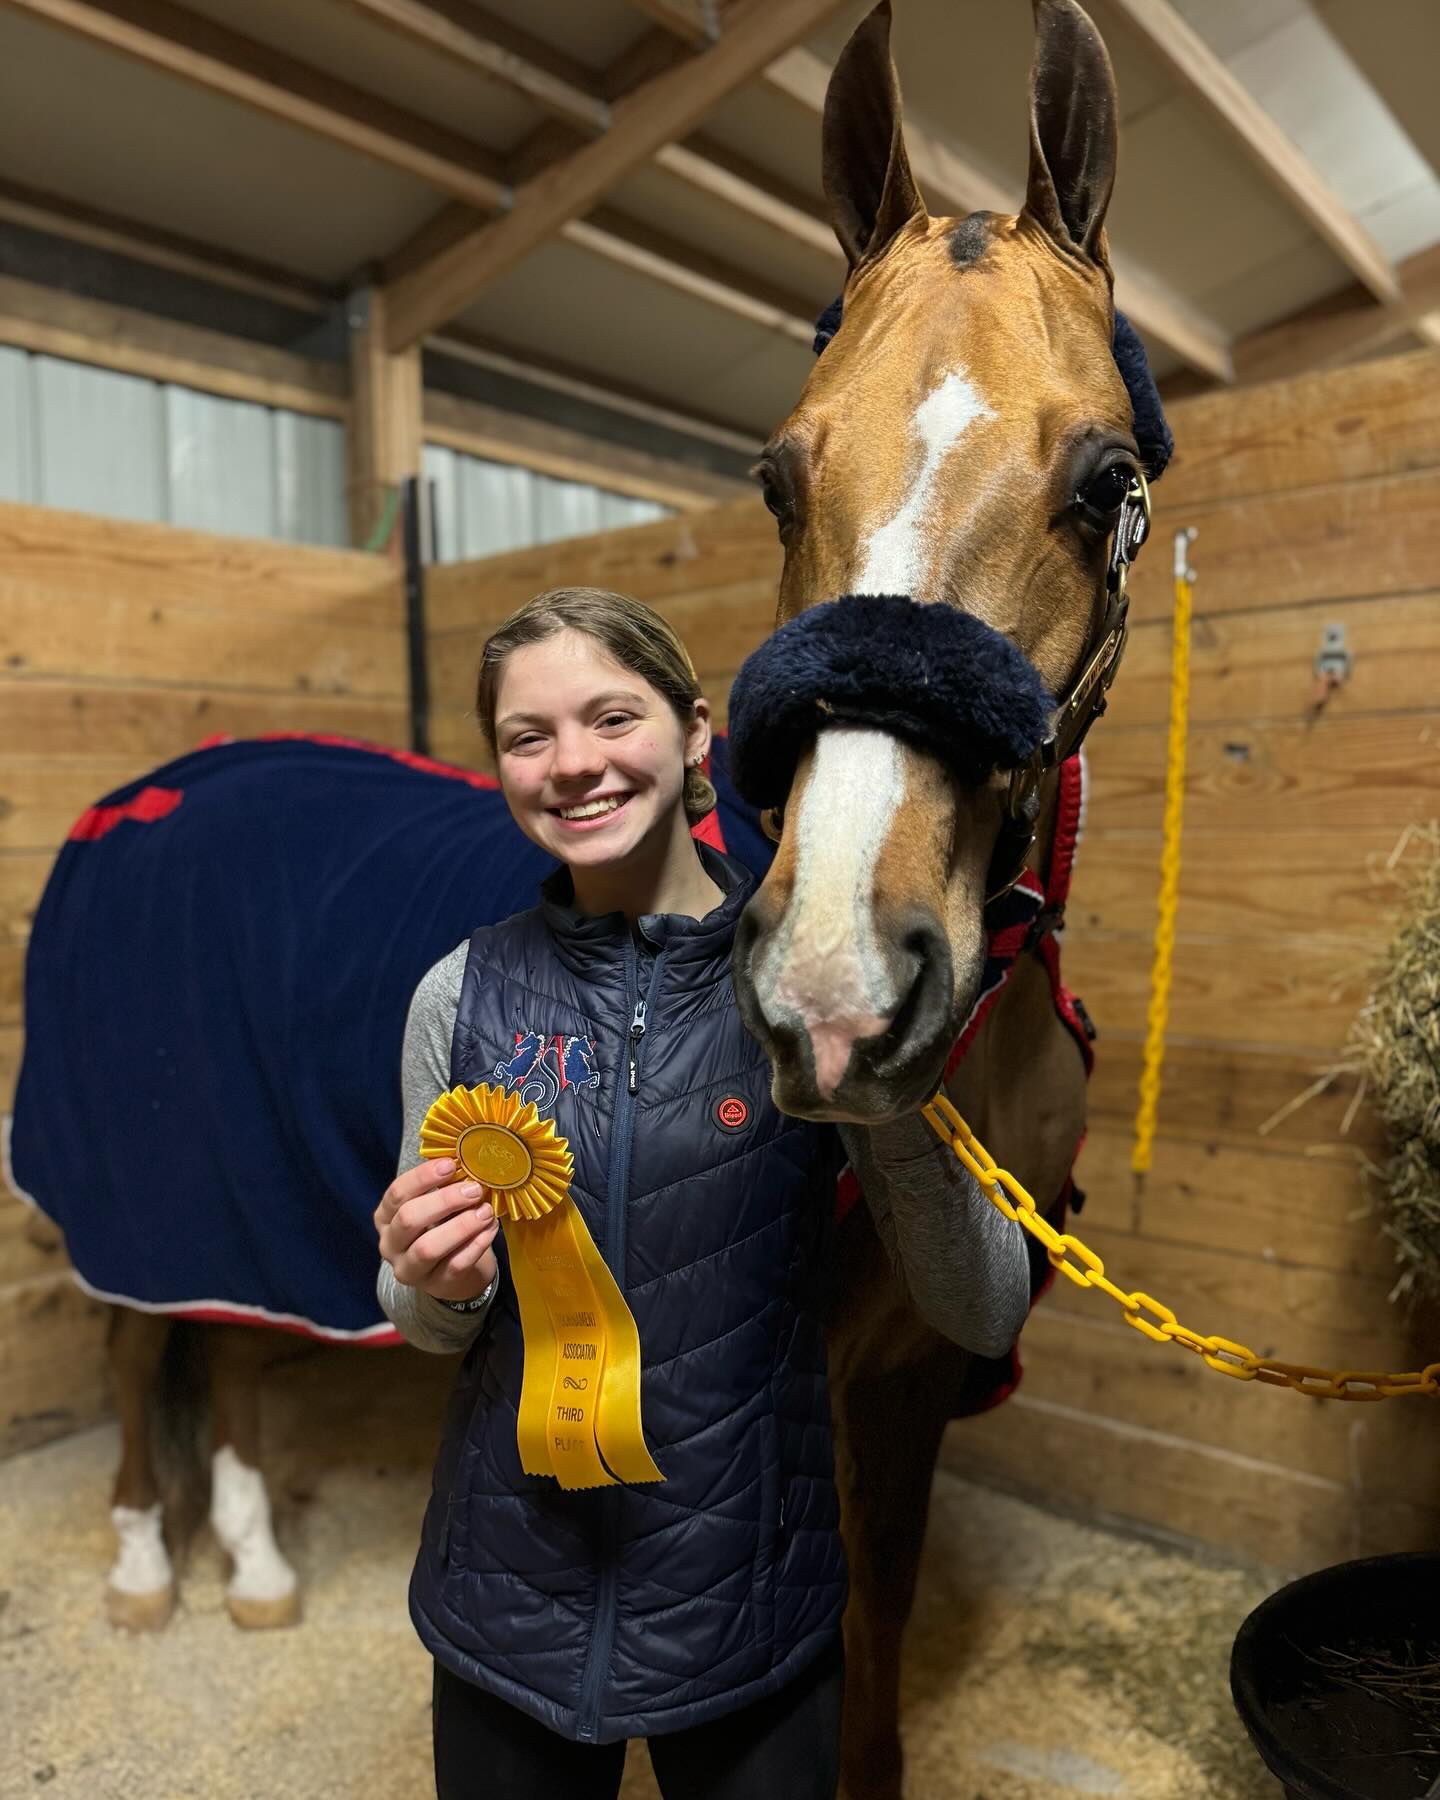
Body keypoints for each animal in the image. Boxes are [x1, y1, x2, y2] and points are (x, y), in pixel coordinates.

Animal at [7, 3, 1165, 1794]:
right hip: (162, 1171)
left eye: (1104, 475)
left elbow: (877, 1661)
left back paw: (251, 1561)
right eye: (776, 476)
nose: (831, 988)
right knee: (150, 1348)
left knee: (233, 1346)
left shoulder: (907, 1383)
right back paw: (154, 1566)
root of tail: (156, 792)